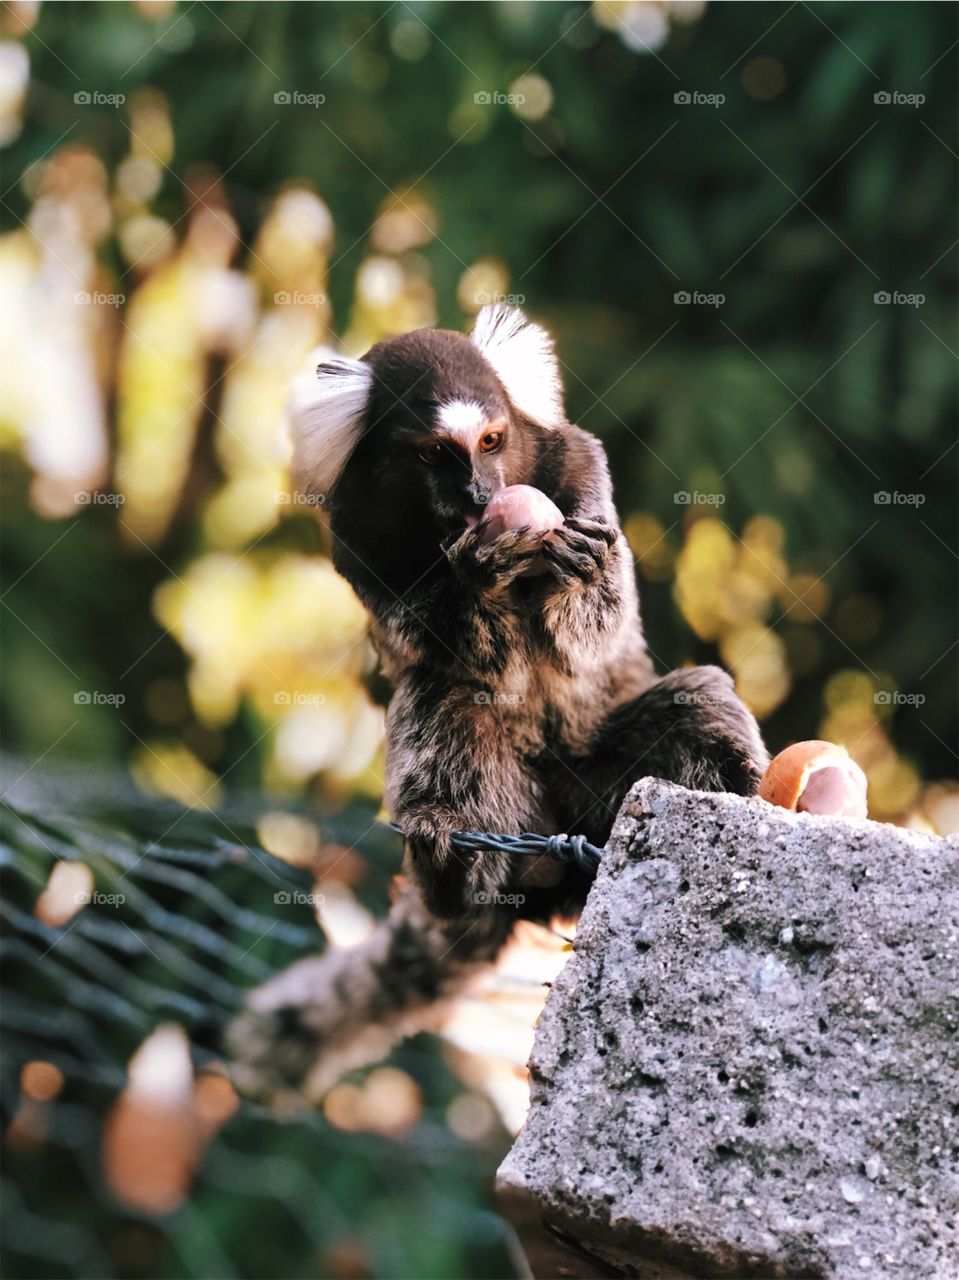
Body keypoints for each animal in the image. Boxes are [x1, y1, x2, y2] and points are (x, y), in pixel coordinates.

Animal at [229, 304, 767, 1101]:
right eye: (434, 454)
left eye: (489, 442)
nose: (482, 495)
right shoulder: (351, 535)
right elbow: (439, 647)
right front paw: (481, 569)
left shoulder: (581, 466)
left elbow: (599, 625)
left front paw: (581, 571)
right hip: (511, 816)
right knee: (441, 705)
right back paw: (452, 869)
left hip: (598, 790)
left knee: (695, 704)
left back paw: (737, 786)